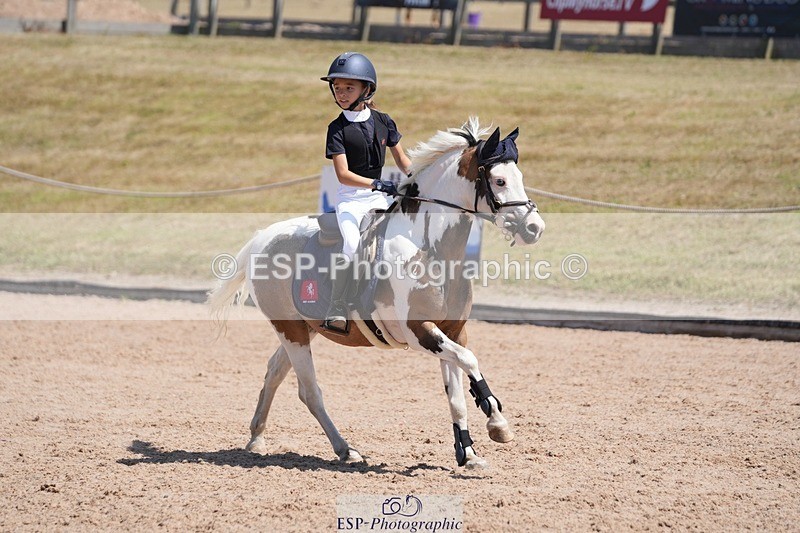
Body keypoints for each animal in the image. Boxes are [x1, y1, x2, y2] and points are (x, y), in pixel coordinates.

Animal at [208, 117, 545, 469]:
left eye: (520, 178)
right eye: (499, 180)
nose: (535, 228)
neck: (431, 249)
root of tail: (263, 237)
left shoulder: (452, 331)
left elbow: (456, 394)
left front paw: (468, 453)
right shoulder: (419, 331)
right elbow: (469, 361)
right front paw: (498, 424)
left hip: (303, 328)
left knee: (275, 371)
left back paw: (257, 437)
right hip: (290, 330)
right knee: (309, 391)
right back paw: (346, 449)